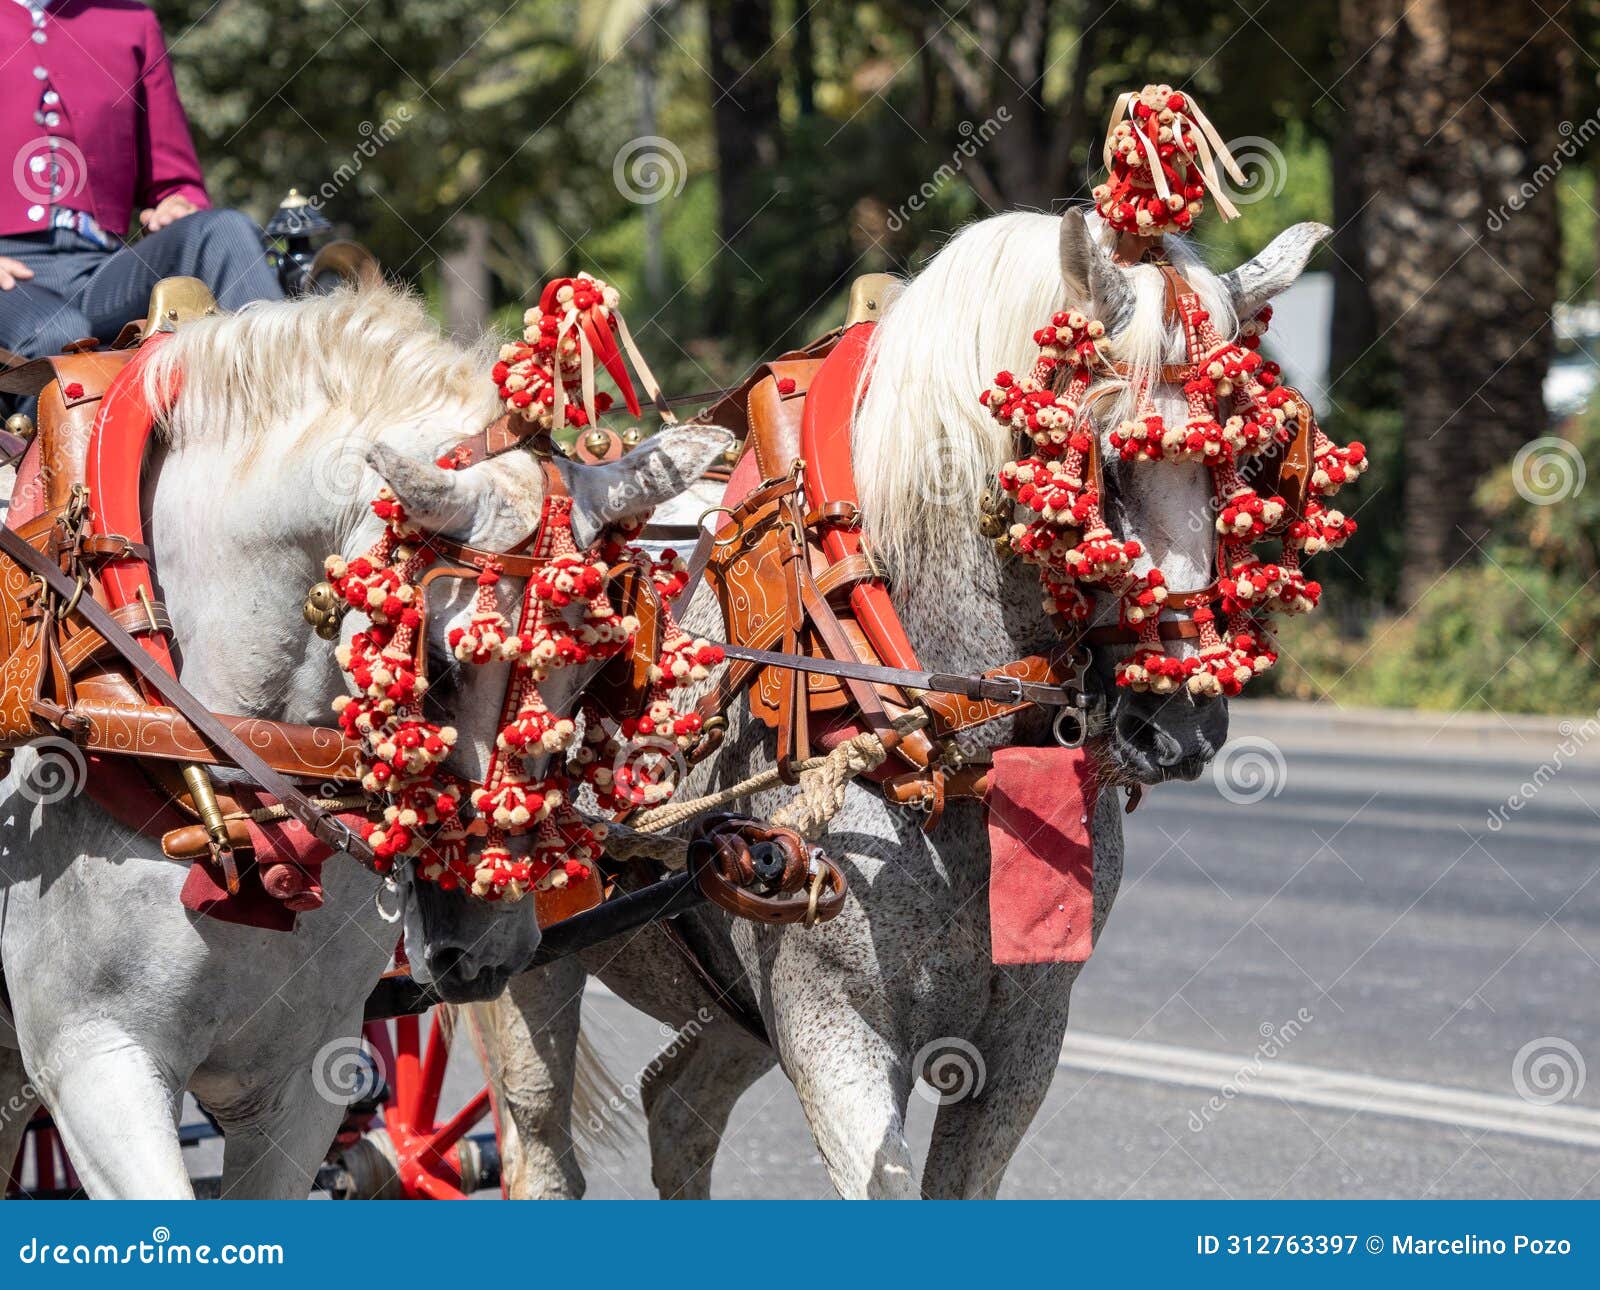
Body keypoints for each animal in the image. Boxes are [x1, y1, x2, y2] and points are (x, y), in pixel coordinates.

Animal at [467, 204, 1331, 1203]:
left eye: (1255, 464)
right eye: (1105, 465)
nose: (1183, 723)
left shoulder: (1025, 1042)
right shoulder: (834, 1036)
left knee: (677, 1105)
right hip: (527, 952)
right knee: (541, 1146)